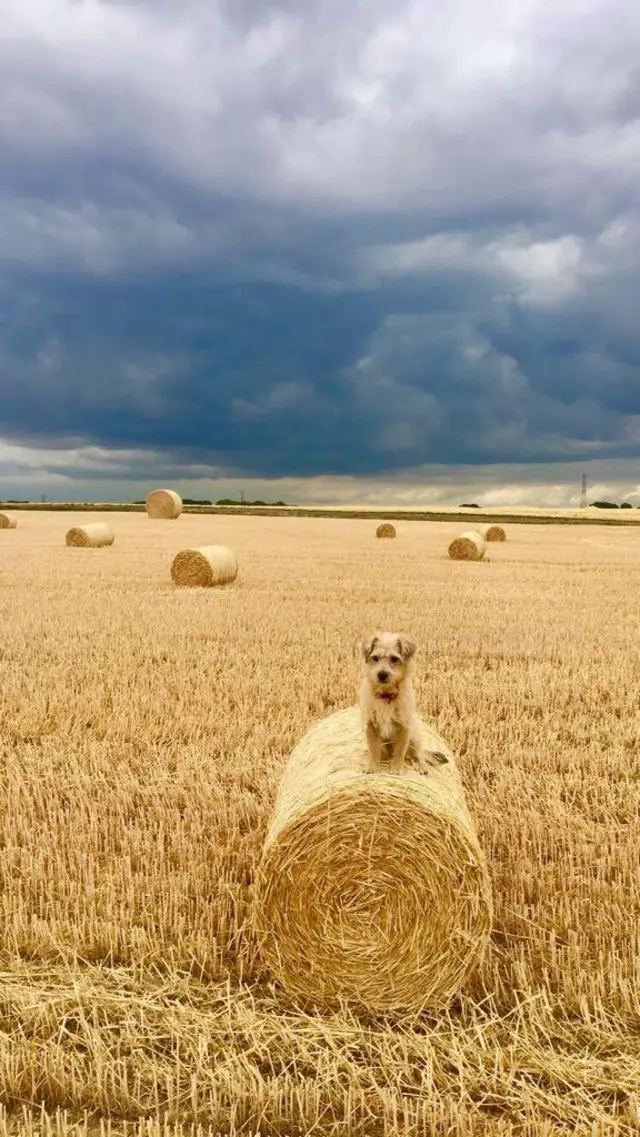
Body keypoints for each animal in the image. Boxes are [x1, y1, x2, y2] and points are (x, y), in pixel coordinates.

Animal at [363, 627, 447, 777]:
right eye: (375, 658)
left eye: (394, 659)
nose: (382, 674)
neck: (386, 695)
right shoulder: (371, 726)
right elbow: (374, 750)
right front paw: (372, 767)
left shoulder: (404, 727)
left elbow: (400, 751)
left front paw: (396, 769)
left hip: (414, 736)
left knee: (418, 754)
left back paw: (422, 767)